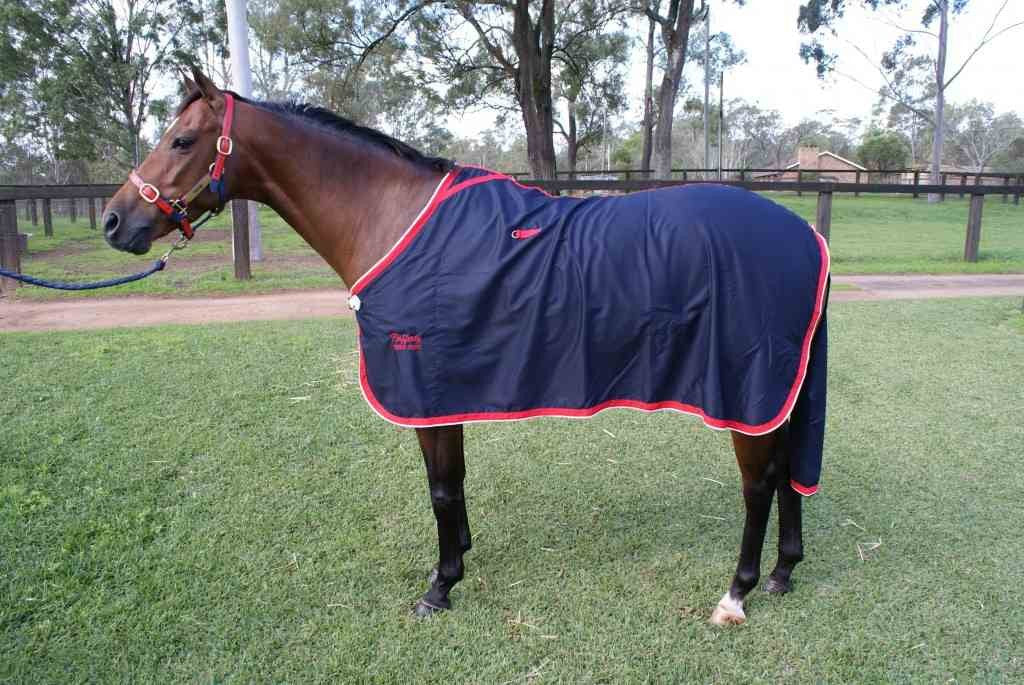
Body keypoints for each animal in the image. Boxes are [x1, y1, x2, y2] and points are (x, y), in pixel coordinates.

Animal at [102, 68, 829, 626]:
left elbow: (442, 490)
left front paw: (441, 583)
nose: (114, 221)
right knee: (788, 468)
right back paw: (782, 573)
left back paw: (735, 593)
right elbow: (452, 487)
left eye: (182, 139)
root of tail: (805, 236)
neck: (390, 218)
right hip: (782, 389)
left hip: (746, 391)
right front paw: (458, 563)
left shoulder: (428, 392)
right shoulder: (441, 391)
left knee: (759, 483)